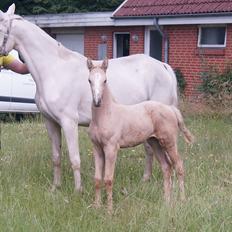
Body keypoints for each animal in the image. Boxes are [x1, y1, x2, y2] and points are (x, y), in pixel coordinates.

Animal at [0, 4, 178, 191]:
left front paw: (78, 190)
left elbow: (74, 158)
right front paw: (56, 187)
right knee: (150, 150)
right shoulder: (51, 122)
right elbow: (56, 157)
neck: (53, 69)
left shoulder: (69, 122)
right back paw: (146, 180)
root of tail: (164, 67)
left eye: (0, 29)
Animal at [87, 58, 194, 212]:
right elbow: (97, 179)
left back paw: (182, 200)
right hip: (155, 143)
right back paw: (166, 202)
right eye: (89, 80)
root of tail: (171, 109)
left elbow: (108, 179)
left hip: (169, 142)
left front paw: (109, 210)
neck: (106, 115)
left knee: (178, 166)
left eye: (105, 80)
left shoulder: (111, 148)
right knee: (166, 167)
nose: (97, 102)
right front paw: (96, 207)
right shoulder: (97, 148)